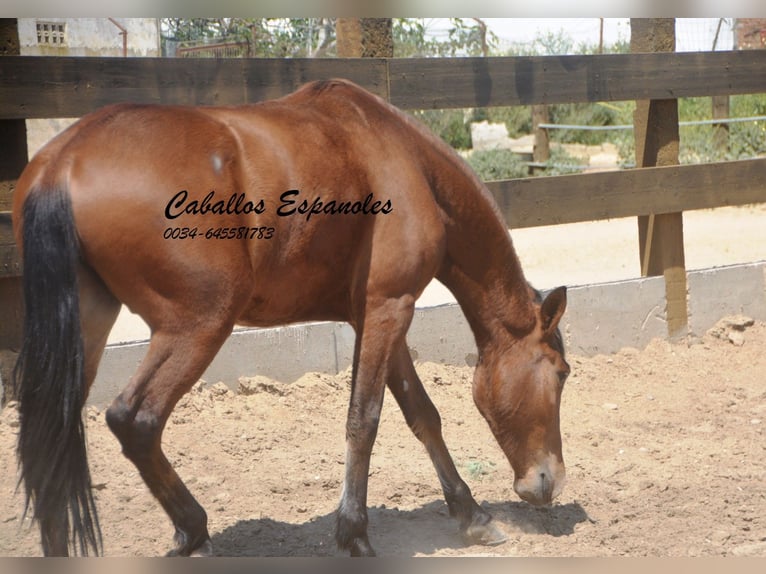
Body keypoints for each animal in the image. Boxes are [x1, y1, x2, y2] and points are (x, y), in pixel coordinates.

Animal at [12, 80, 568, 560]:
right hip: (199, 325)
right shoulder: (390, 308)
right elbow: (365, 420)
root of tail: (63, 162)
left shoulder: (375, 315)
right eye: (561, 373)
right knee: (135, 420)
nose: (551, 479)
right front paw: (354, 533)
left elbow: (421, 414)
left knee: (50, 441)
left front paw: (471, 515)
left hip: (90, 324)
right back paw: (193, 529)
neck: (403, 157)